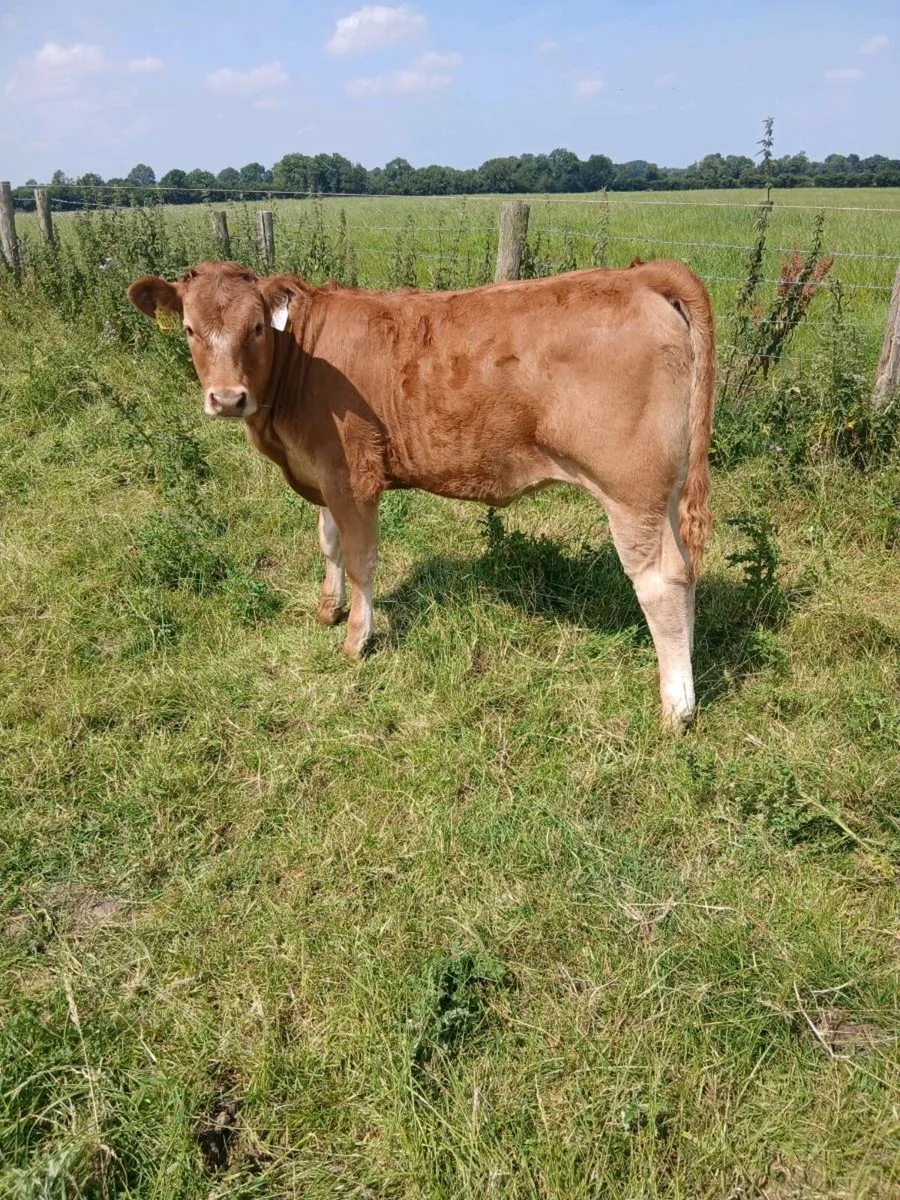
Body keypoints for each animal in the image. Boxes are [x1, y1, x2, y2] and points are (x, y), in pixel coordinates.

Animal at [127, 259, 715, 727]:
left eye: (254, 328)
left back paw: (676, 706)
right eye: (188, 329)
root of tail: (640, 274)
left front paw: (356, 640)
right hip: (664, 492)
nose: (227, 398)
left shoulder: (353, 475)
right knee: (686, 569)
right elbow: (329, 543)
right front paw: (327, 609)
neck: (301, 364)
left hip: (630, 490)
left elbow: (361, 559)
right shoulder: (324, 474)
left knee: (660, 581)